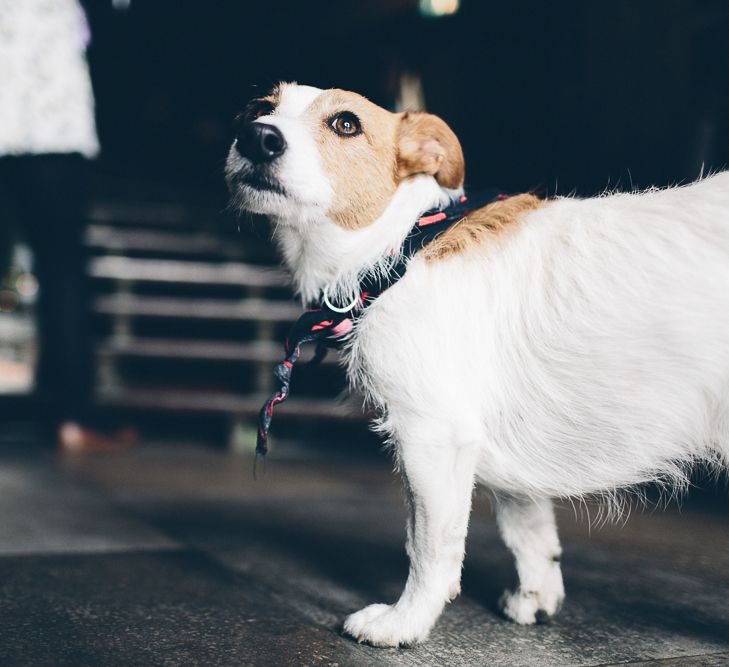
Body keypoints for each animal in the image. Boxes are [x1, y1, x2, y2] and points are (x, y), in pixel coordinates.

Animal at [225, 82, 728, 648]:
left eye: (346, 123)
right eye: (260, 108)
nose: (256, 137)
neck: (402, 248)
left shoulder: (433, 437)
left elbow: (428, 547)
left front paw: (405, 622)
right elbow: (530, 532)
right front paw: (536, 599)